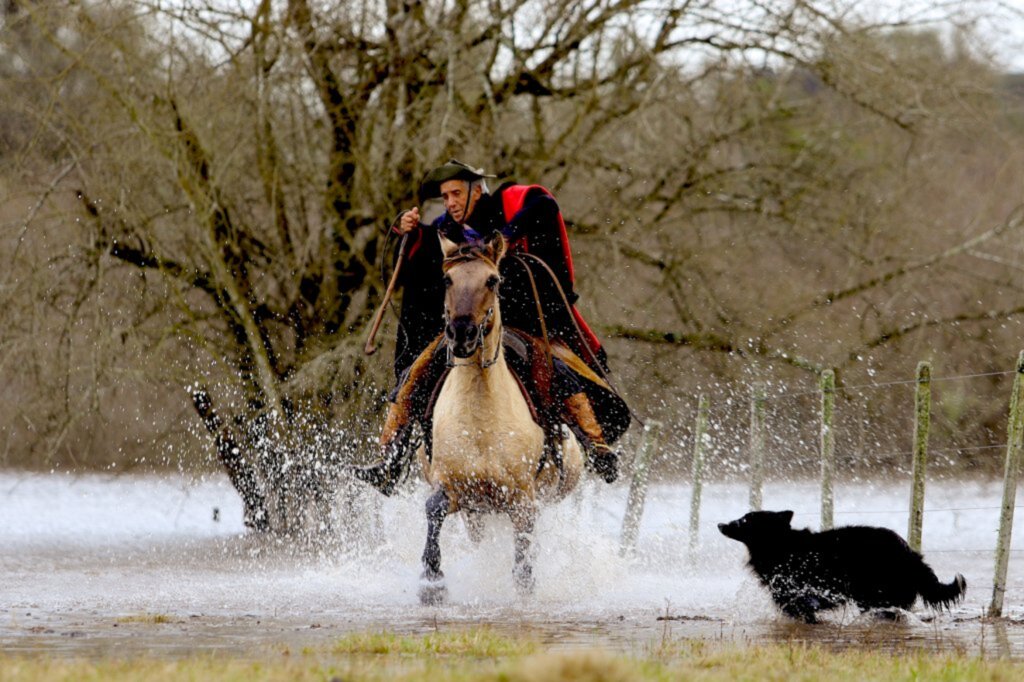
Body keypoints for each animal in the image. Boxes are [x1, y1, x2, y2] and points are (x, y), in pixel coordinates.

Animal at [411, 231, 581, 602]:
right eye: (447, 279)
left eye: (493, 280)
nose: (462, 334)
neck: (480, 419)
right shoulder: (456, 489)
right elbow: (433, 508)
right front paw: (432, 582)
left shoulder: (522, 498)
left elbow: (523, 558)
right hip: (477, 514)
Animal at [716, 503, 962, 622]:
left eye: (744, 520)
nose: (719, 524)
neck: (781, 546)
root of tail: (911, 555)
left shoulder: (800, 597)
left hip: (874, 595)